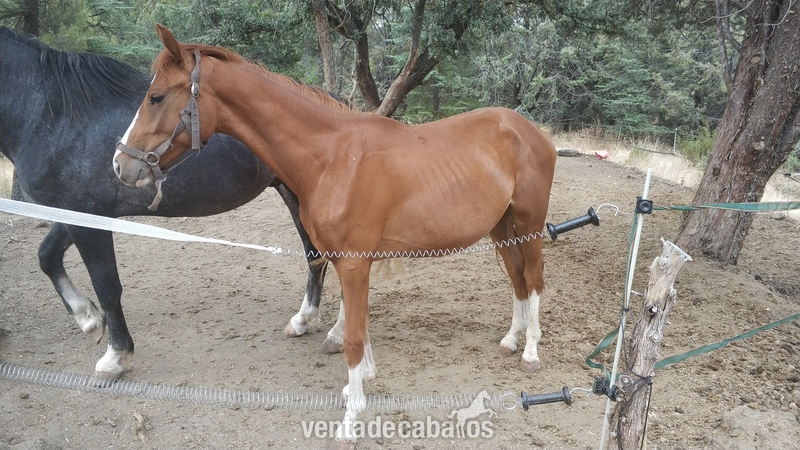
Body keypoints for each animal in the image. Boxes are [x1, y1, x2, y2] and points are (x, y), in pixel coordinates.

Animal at [0, 26, 355, 379]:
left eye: (156, 98)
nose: (119, 164)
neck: (52, 112)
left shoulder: (88, 217)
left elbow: (107, 285)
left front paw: (116, 355)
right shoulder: (75, 214)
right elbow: (47, 257)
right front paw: (89, 319)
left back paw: (338, 335)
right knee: (315, 256)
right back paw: (304, 320)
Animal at [113, 25, 556, 448]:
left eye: (155, 97)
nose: (120, 164)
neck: (333, 158)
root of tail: (532, 131)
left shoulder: (356, 262)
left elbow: (354, 338)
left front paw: (350, 420)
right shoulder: (349, 262)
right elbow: (358, 324)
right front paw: (360, 382)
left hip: (529, 225)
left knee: (534, 280)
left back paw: (531, 353)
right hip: (502, 229)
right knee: (517, 281)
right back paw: (511, 340)